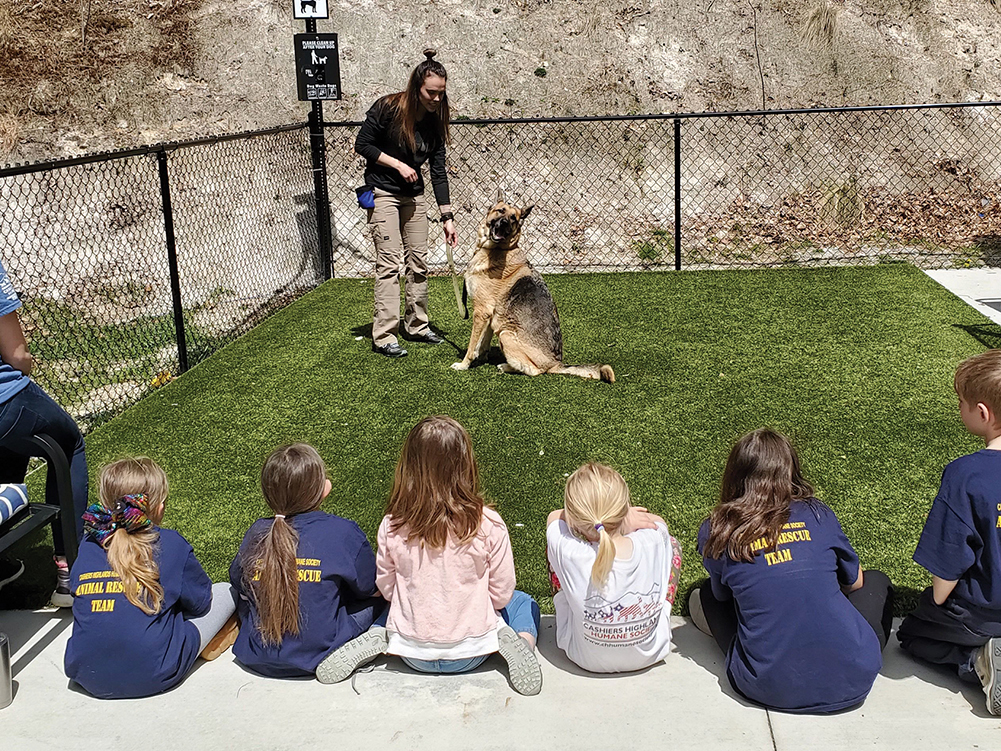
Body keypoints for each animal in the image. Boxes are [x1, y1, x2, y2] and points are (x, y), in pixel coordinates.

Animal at [450, 198, 612, 382]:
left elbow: (472, 345)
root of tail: (556, 363)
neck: (499, 249)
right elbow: (482, 342)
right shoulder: (491, 316)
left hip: (506, 334)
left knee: (535, 370)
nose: (504, 222)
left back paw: (505, 366)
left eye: (513, 218)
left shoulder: (481, 312)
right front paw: (482, 357)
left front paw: (464, 365)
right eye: (501, 211)